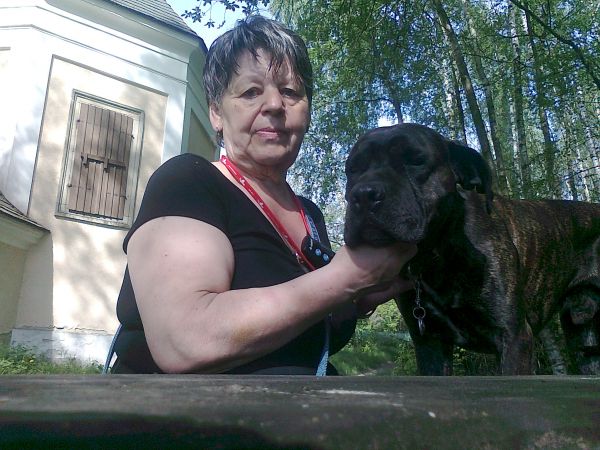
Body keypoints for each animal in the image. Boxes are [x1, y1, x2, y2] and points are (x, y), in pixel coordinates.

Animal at [344, 123, 600, 375]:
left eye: (415, 160)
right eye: (352, 169)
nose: (364, 194)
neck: (438, 255)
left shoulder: (514, 337)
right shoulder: (429, 344)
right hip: (585, 342)